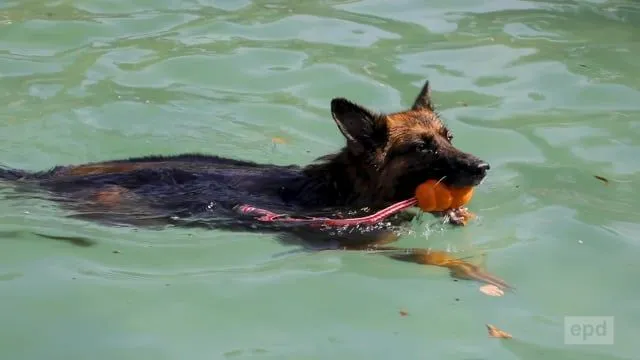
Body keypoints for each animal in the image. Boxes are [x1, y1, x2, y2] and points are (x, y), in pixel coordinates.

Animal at [0, 81, 510, 290]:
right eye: (422, 148)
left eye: (448, 138)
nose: (484, 167)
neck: (345, 191)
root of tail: (53, 174)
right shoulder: (356, 241)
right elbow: (424, 254)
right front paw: (470, 270)